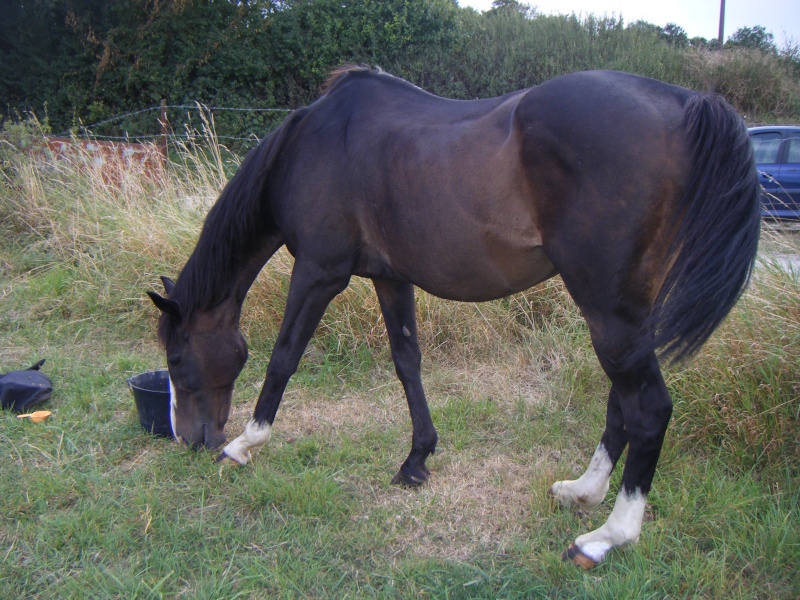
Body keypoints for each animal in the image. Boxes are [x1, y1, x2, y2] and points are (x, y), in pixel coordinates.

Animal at [147, 65, 760, 568]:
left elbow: (283, 357)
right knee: (623, 403)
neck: (312, 146)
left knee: (649, 408)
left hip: (609, 308)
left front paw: (243, 446)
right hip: (627, 312)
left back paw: (606, 538)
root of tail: (686, 104)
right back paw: (582, 492)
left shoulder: (319, 272)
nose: (188, 439)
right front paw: (417, 459)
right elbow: (407, 362)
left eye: (176, 357)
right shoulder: (391, 277)